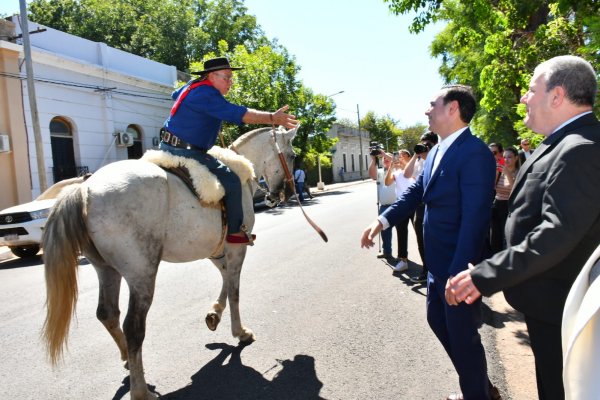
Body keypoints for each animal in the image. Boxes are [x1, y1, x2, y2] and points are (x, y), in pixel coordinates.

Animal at [41, 126, 298, 398]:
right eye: (292, 156)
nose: (284, 193)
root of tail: (85, 190)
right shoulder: (235, 248)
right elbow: (234, 290)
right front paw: (240, 332)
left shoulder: (215, 251)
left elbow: (226, 280)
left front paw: (214, 314)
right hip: (142, 273)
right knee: (133, 327)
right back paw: (140, 390)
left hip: (106, 269)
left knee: (107, 314)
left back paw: (127, 359)